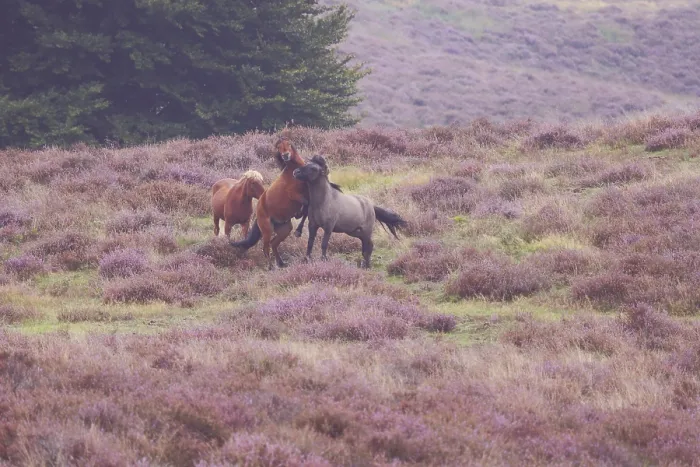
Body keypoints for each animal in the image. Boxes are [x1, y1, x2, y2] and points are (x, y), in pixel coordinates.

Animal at [230, 137, 310, 269]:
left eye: (289, 144)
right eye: (278, 147)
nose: (285, 155)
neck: (293, 172)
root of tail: (258, 214)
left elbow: (307, 208)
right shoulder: (294, 195)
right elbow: (306, 205)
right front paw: (299, 226)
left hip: (285, 229)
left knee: (274, 243)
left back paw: (281, 264)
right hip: (267, 230)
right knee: (266, 247)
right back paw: (271, 267)